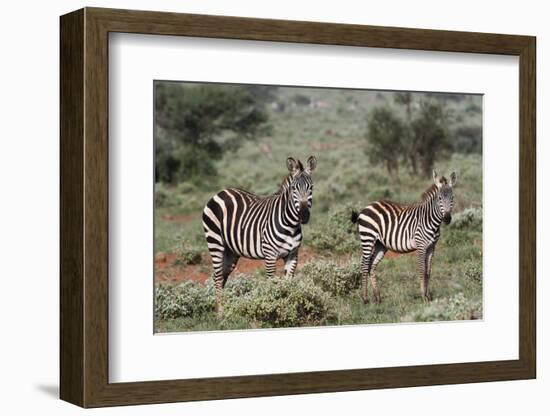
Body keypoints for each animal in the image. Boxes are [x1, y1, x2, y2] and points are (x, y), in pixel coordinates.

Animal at [203, 156, 316, 312]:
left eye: (311, 187)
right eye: (294, 188)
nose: (303, 215)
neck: (291, 225)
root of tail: (221, 192)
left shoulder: (293, 255)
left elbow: (288, 284)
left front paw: (289, 309)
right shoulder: (270, 255)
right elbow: (272, 284)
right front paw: (273, 310)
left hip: (231, 251)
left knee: (220, 276)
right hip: (215, 242)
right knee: (218, 276)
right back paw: (220, 311)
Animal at [352, 171, 460, 304]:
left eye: (452, 198)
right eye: (439, 198)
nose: (447, 218)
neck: (431, 220)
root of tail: (368, 206)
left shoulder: (431, 247)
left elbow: (428, 271)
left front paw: (428, 296)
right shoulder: (421, 246)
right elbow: (422, 270)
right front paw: (423, 296)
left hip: (380, 244)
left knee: (372, 265)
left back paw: (378, 297)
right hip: (367, 238)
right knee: (364, 264)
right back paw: (365, 299)